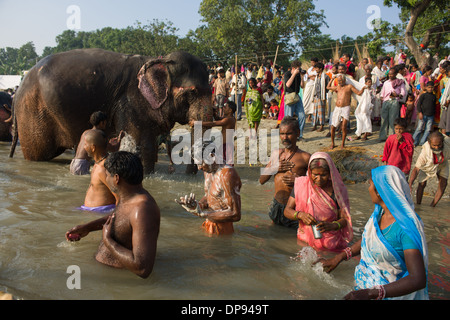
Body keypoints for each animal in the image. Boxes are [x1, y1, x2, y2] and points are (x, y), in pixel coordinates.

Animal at [9, 48, 214, 172]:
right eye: (192, 92)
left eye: (210, 89)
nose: (195, 171)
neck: (160, 61)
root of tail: (18, 89)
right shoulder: (131, 102)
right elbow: (141, 145)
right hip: (33, 115)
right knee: (39, 154)